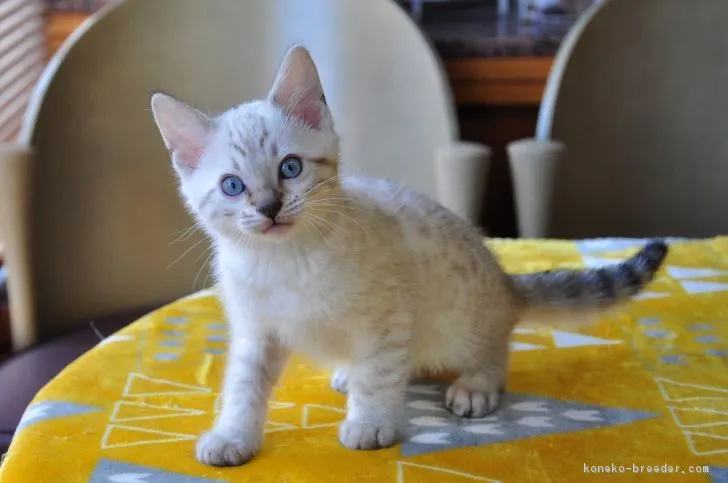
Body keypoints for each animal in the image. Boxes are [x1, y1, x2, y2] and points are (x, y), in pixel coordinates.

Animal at [151, 46, 668, 468]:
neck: (286, 262)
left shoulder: (388, 319)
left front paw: (369, 424)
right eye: (232, 186)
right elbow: (242, 387)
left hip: (460, 324)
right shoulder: (255, 331)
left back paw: (475, 386)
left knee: (492, 349)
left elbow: (379, 375)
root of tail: (505, 282)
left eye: (290, 168)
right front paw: (232, 436)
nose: (268, 207)